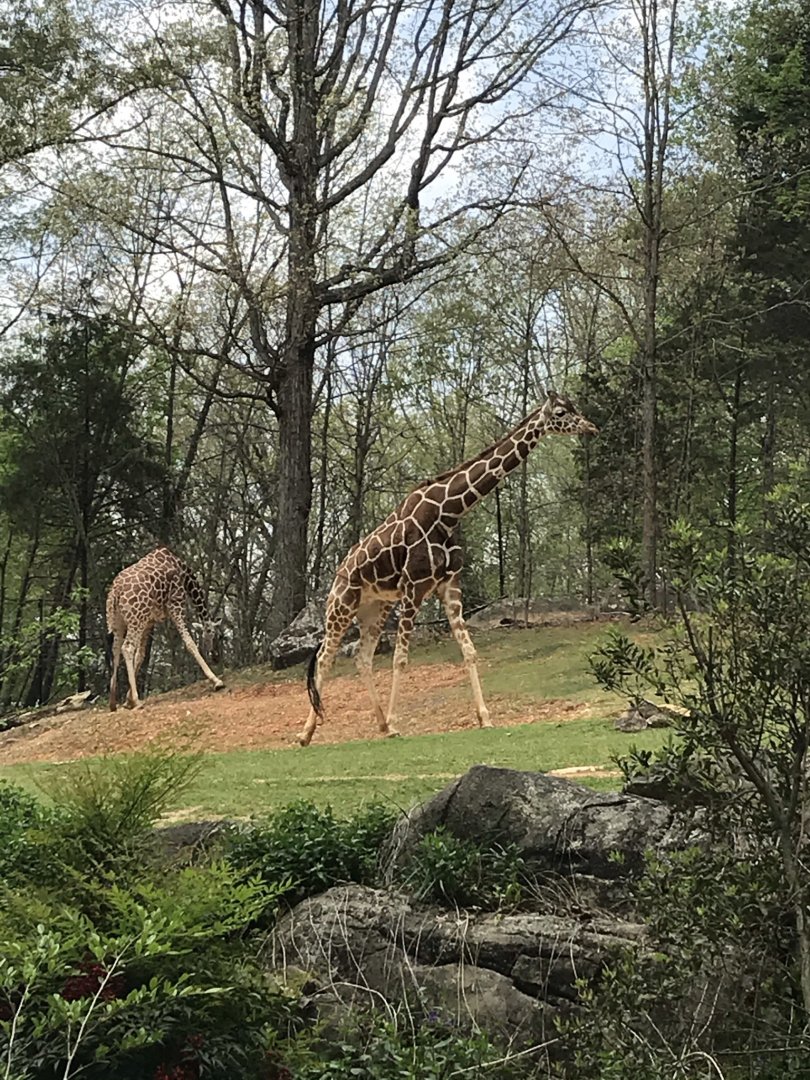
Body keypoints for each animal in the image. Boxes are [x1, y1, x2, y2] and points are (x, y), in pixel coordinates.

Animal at [106, 545, 225, 710]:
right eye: (217, 635)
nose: (215, 656)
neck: (184, 573)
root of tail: (116, 591)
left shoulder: (149, 622)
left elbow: (141, 655)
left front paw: (127, 700)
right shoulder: (176, 604)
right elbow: (190, 643)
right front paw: (216, 681)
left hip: (119, 622)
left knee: (116, 649)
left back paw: (112, 702)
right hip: (135, 619)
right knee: (127, 648)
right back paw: (137, 701)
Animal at [300, 389, 598, 746]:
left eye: (573, 407)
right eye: (561, 412)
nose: (591, 427)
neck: (450, 512)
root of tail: (339, 571)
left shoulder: (449, 584)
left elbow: (468, 650)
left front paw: (485, 717)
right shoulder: (414, 587)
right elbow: (401, 658)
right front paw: (397, 723)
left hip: (376, 607)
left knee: (362, 656)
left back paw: (379, 724)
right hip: (342, 604)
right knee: (324, 657)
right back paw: (306, 733)